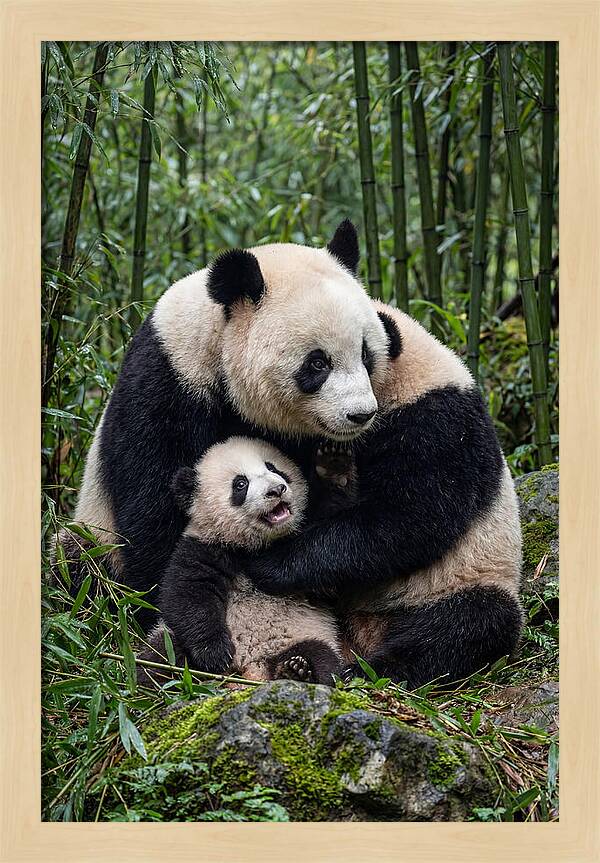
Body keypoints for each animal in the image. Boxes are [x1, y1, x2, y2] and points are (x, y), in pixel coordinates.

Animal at [139, 436, 343, 685]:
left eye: (274, 468)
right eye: (240, 484)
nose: (276, 490)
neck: (253, 545)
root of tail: (251, 667)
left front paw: (333, 467)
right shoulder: (203, 547)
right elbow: (188, 595)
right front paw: (215, 654)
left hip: (305, 634)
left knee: (322, 658)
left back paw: (297, 671)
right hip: (169, 640)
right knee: (159, 658)